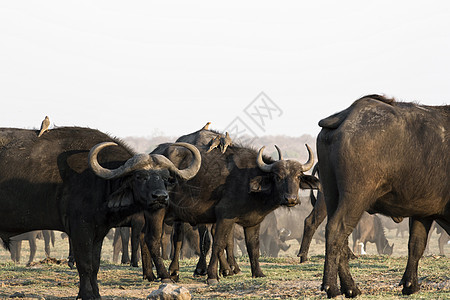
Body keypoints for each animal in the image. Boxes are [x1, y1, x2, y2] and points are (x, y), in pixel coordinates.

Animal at [0, 127, 200, 300]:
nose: (160, 197)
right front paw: (87, 294)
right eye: (139, 176)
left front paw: (95, 294)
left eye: (166, 178)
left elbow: (95, 264)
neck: (99, 182)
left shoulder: (99, 231)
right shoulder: (80, 229)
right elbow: (85, 264)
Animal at [141, 126, 320, 284]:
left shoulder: (253, 222)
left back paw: (150, 275)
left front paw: (257, 273)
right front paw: (213, 276)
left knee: (147, 237)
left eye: (298, 176)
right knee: (154, 239)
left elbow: (253, 246)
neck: (249, 179)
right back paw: (166, 275)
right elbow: (218, 244)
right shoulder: (225, 217)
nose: (291, 199)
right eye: (277, 176)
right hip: (158, 211)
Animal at [318, 95, 448, 296]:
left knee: (342, 237)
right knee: (336, 230)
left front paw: (410, 284)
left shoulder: (422, 212)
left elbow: (416, 245)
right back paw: (333, 287)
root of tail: (346, 115)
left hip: (331, 194)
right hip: (356, 196)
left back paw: (350, 288)